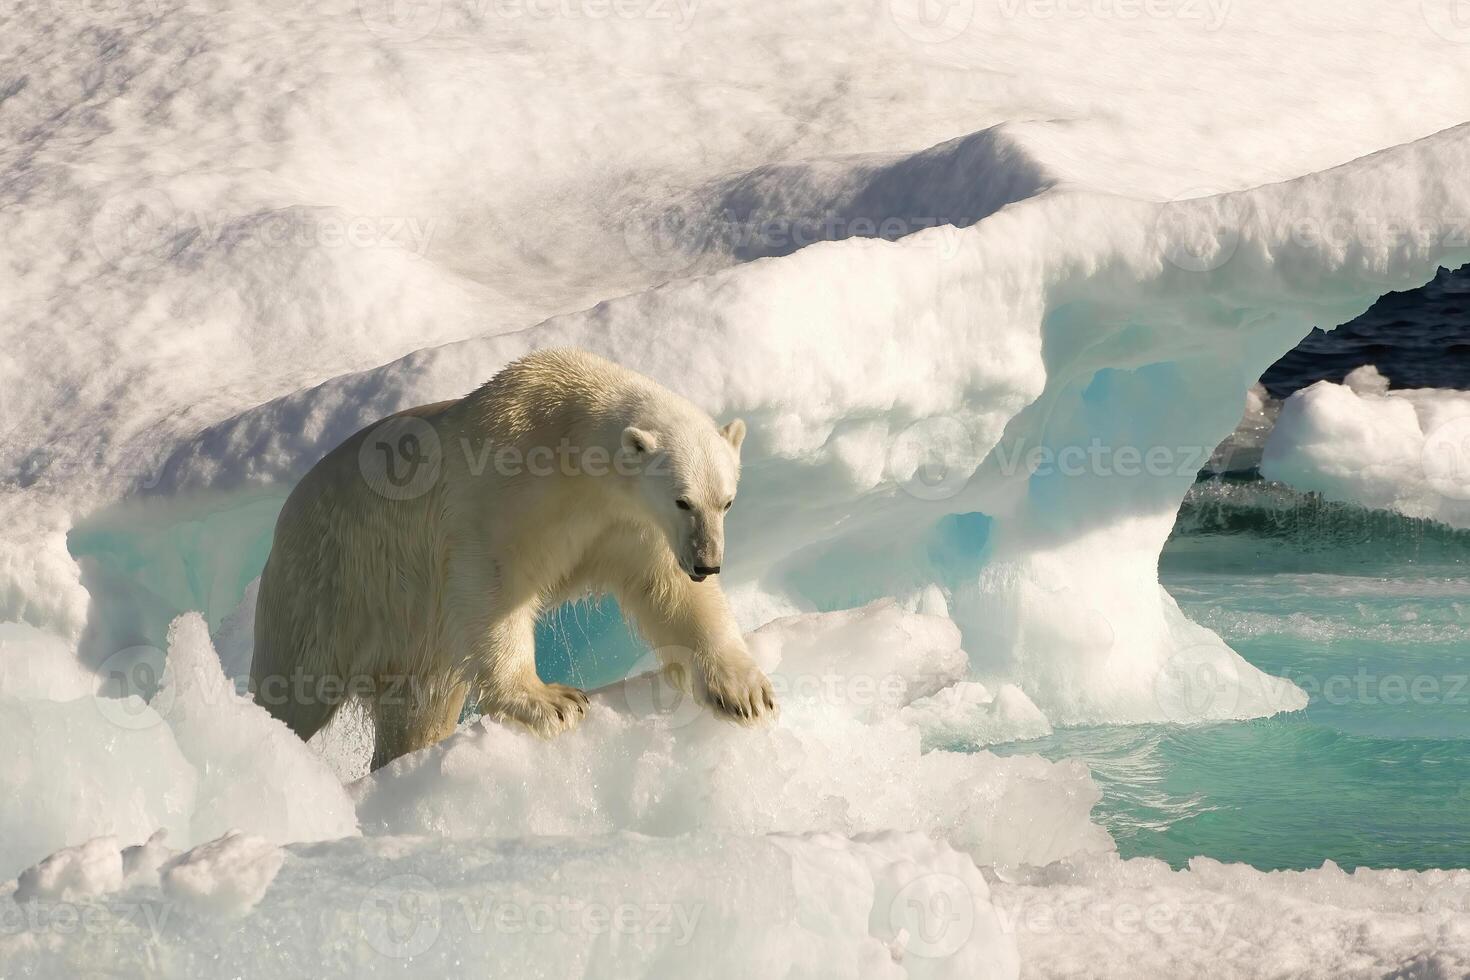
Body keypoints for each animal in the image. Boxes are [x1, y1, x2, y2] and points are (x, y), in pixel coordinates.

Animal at [246, 348, 776, 769]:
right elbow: (494, 590)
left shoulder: (627, 523)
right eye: (682, 501)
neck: (567, 429)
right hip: (331, 585)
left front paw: (745, 691)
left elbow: (669, 589)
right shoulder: (502, 492)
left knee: (419, 705)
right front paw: (553, 701)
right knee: (295, 687)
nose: (707, 563)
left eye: (727, 501)